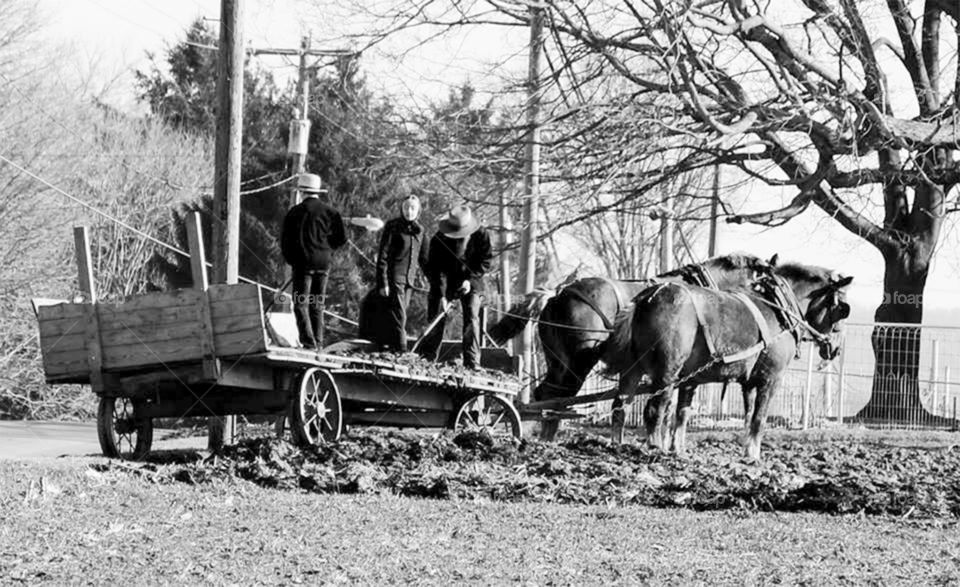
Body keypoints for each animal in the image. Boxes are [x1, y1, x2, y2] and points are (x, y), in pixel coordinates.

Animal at [604, 260, 852, 460]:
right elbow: (759, 419)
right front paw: (754, 456)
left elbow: (743, 417)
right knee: (655, 408)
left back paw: (617, 446)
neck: (778, 309)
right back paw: (655, 449)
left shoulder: (745, 383)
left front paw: (745, 450)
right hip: (667, 373)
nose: (836, 349)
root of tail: (647, 297)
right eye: (841, 309)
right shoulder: (771, 379)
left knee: (620, 406)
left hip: (633, 369)